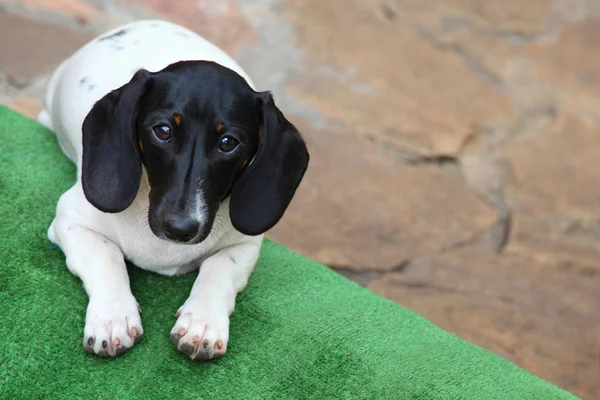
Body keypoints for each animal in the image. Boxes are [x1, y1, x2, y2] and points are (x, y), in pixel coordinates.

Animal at [37, 19, 310, 360]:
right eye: (163, 130)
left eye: (228, 142)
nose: (180, 229)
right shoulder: (71, 219)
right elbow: (106, 256)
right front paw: (113, 316)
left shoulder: (245, 245)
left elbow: (218, 268)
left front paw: (202, 322)